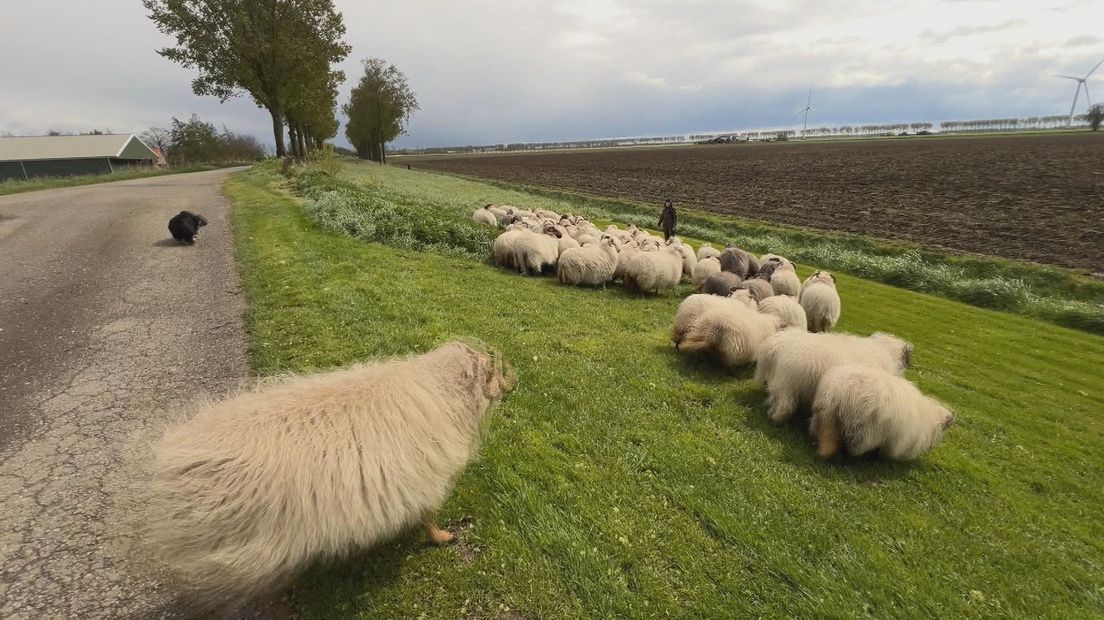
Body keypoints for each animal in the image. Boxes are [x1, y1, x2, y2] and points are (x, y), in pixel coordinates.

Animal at [140, 339, 514, 604]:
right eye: (492, 371)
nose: (510, 385)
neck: (442, 391)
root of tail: (176, 454)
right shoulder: (424, 477)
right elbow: (427, 516)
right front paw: (441, 538)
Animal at [808, 361, 953, 458]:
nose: (953, 418)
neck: (930, 416)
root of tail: (834, 394)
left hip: (824, 419)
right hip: (864, 430)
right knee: (855, 447)